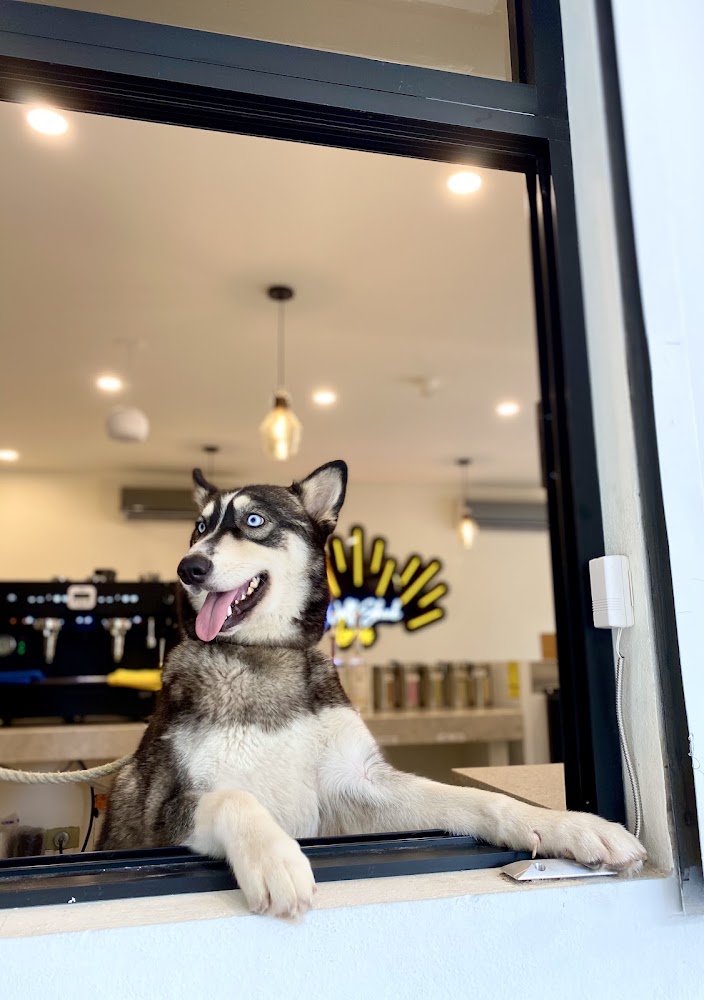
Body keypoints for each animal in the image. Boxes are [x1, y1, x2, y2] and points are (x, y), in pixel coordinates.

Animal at [98, 460, 645, 917]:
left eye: (253, 521)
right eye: (199, 527)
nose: (188, 567)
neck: (265, 655)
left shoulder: (358, 781)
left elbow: (478, 800)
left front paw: (573, 826)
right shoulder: (164, 810)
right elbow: (235, 799)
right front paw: (275, 859)